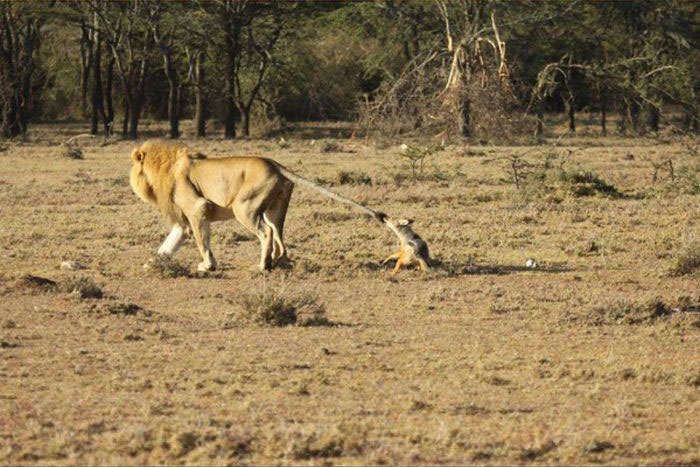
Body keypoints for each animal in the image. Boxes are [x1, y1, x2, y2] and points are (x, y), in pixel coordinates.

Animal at [129, 143, 386, 272]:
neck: (165, 167)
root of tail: (275, 164)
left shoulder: (197, 208)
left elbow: (203, 242)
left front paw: (207, 265)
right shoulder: (185, 221)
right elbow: (168, 244)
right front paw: (153, 263)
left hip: (244, 208)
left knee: (266, 232)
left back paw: (263, 265)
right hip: (275, 209)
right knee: (280, 236)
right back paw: (277, 261)